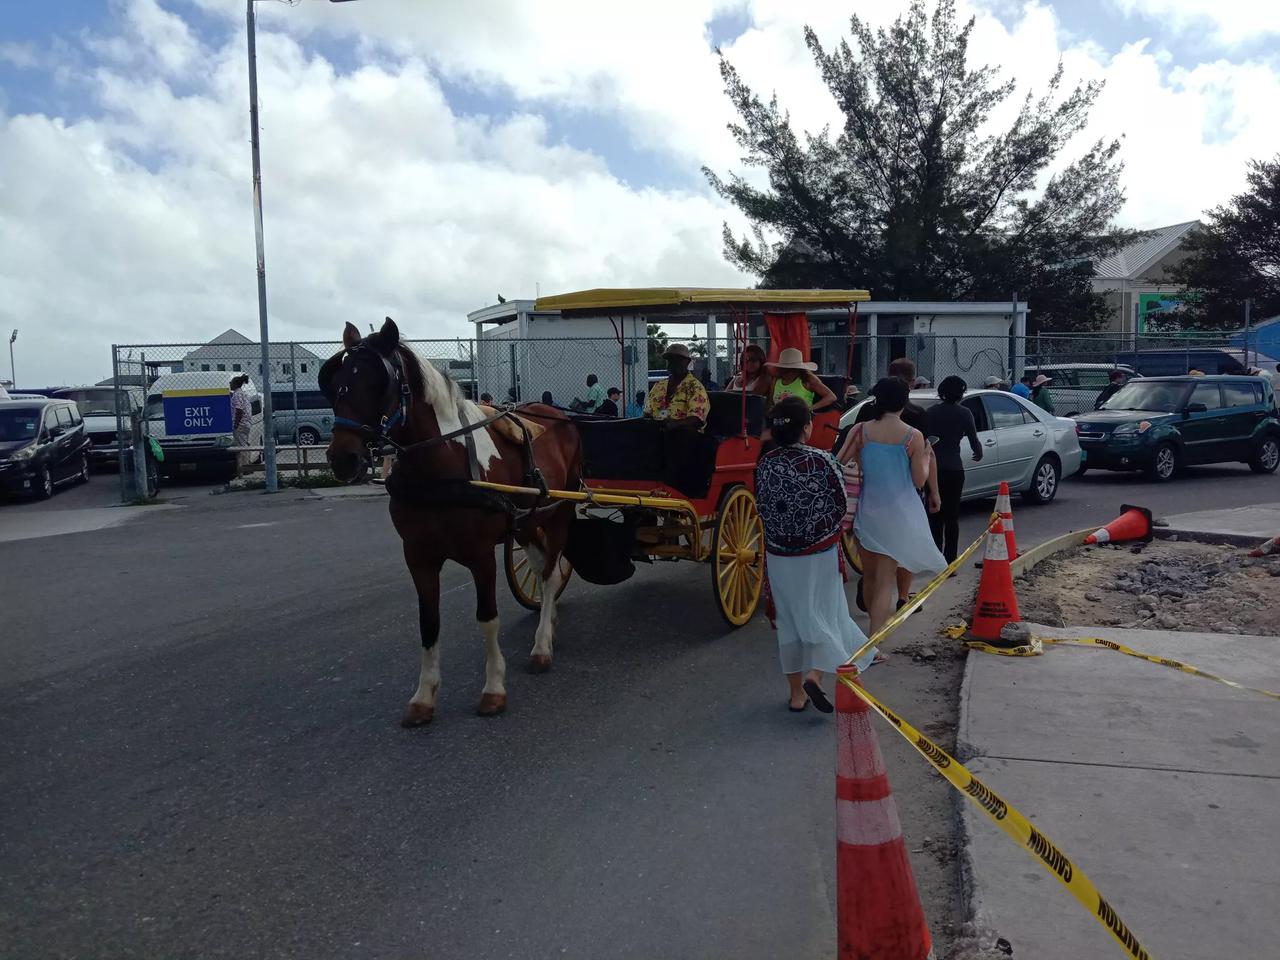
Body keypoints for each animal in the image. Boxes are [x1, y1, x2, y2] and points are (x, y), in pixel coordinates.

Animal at [320, 320, 581, 727]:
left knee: (552, 573)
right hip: (526, 521)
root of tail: (560, 417)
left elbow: (487, 618)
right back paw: (548, 622)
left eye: (380, 382)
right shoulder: (418, 556)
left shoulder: (481, 554)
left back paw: (541, 646)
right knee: (541, 571)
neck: (441, 465)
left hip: (559, 513)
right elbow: (428, 623)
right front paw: (424, 696)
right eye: (338, 382)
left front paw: (493, 688)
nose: (342, 458)